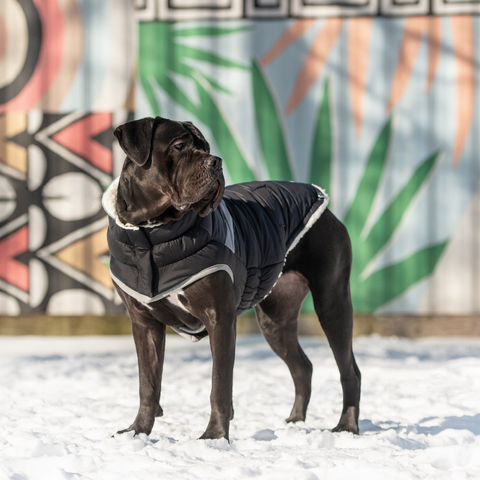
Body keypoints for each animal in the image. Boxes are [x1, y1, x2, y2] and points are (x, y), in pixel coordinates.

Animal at [104, 115, 360, 438]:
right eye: (179, 146)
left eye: (205, 147)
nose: (216, 162)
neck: (152, 233)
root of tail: (324, 205)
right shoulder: (143, 322)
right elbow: (148, 384)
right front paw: (137, 431)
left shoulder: (220, 318)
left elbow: (220, 385)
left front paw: (214, 436)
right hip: (275, 319)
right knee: (303, 366)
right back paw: (295, 421)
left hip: (332, 303)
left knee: (349, 370)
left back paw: (347, 426)